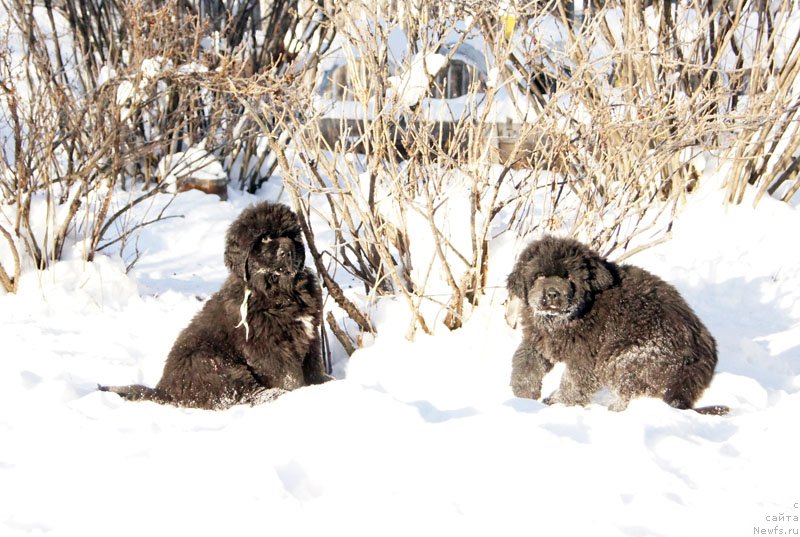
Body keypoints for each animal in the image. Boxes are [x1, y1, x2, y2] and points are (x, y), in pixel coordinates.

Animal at [101, 200, 330, 406]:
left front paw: (323, 383)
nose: (287, 250)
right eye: (265, 238)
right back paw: (275, 396)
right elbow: (289, 376)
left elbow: (313, 366)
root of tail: (164, 390)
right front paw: (301, 394)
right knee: (242, 393)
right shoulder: (267, 345)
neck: (282, 290)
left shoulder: (309, 335)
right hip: (211, 362)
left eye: (291, 236)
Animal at [510, 234, 728, 414]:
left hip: (624, 356)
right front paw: (523, 397)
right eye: (539, 275)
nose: (552, 294)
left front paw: (556, 403)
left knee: (631, 391)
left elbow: (574, 382)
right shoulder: (537, 339)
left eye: (569, 276)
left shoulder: (587, 354)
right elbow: (525, 364)